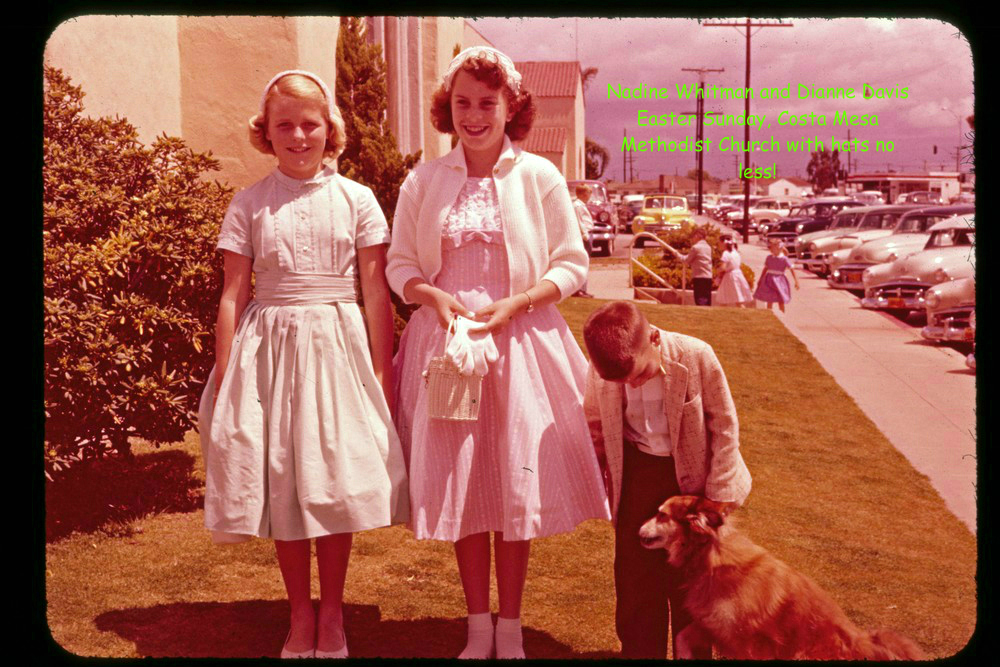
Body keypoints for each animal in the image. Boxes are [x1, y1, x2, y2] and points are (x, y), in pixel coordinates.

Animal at [638, 496, 926, 660]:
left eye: (662, 514)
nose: (638, 529)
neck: (710, 556)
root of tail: (863, 643)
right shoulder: (711, 626)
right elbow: (681, 638)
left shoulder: (749, 645)